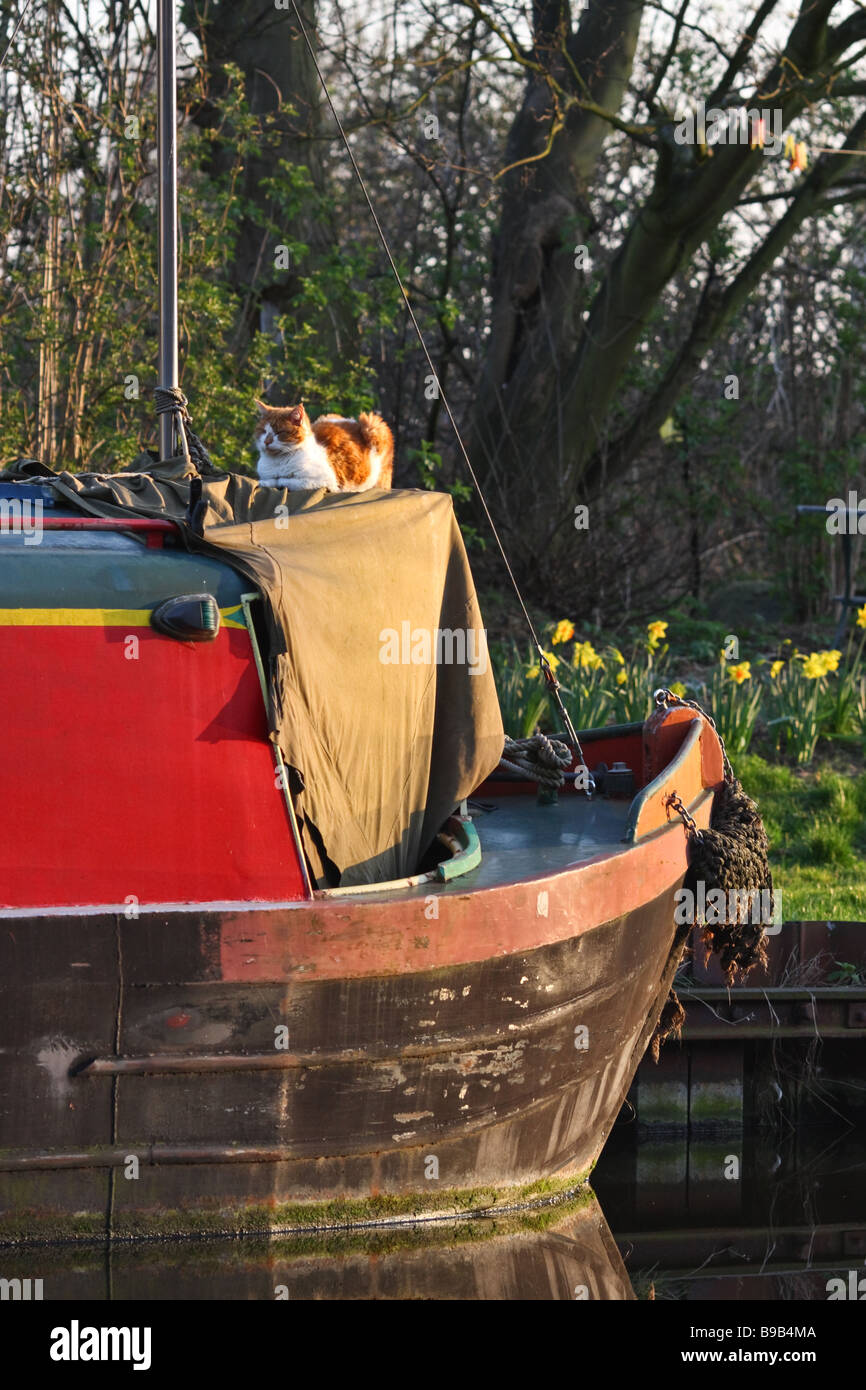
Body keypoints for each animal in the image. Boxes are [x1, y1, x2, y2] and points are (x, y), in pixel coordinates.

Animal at [255, 400, 394, 492]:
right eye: (263, 431)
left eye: (279, 432)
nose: (266, 441)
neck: (277, 462)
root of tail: (356, 423)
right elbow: (269, 479)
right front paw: (266, 481)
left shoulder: (324, 481)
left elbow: (284, 480)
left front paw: (274, 481)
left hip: (373, 426)